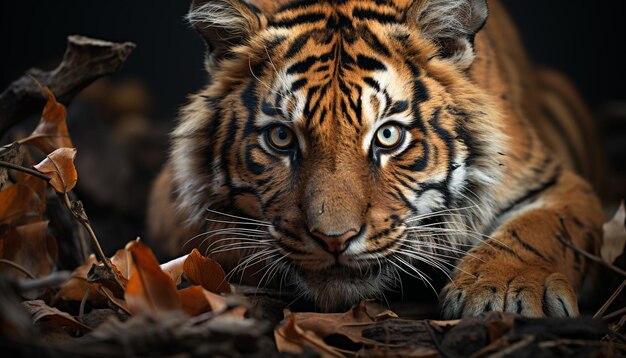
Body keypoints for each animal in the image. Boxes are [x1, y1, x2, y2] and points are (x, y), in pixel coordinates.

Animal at [147, 0, 604, 318]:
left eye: (387, 135)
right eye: (281, 137)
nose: (334, 240)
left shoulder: (552, 177)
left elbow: (539, 229)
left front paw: (504, 293)